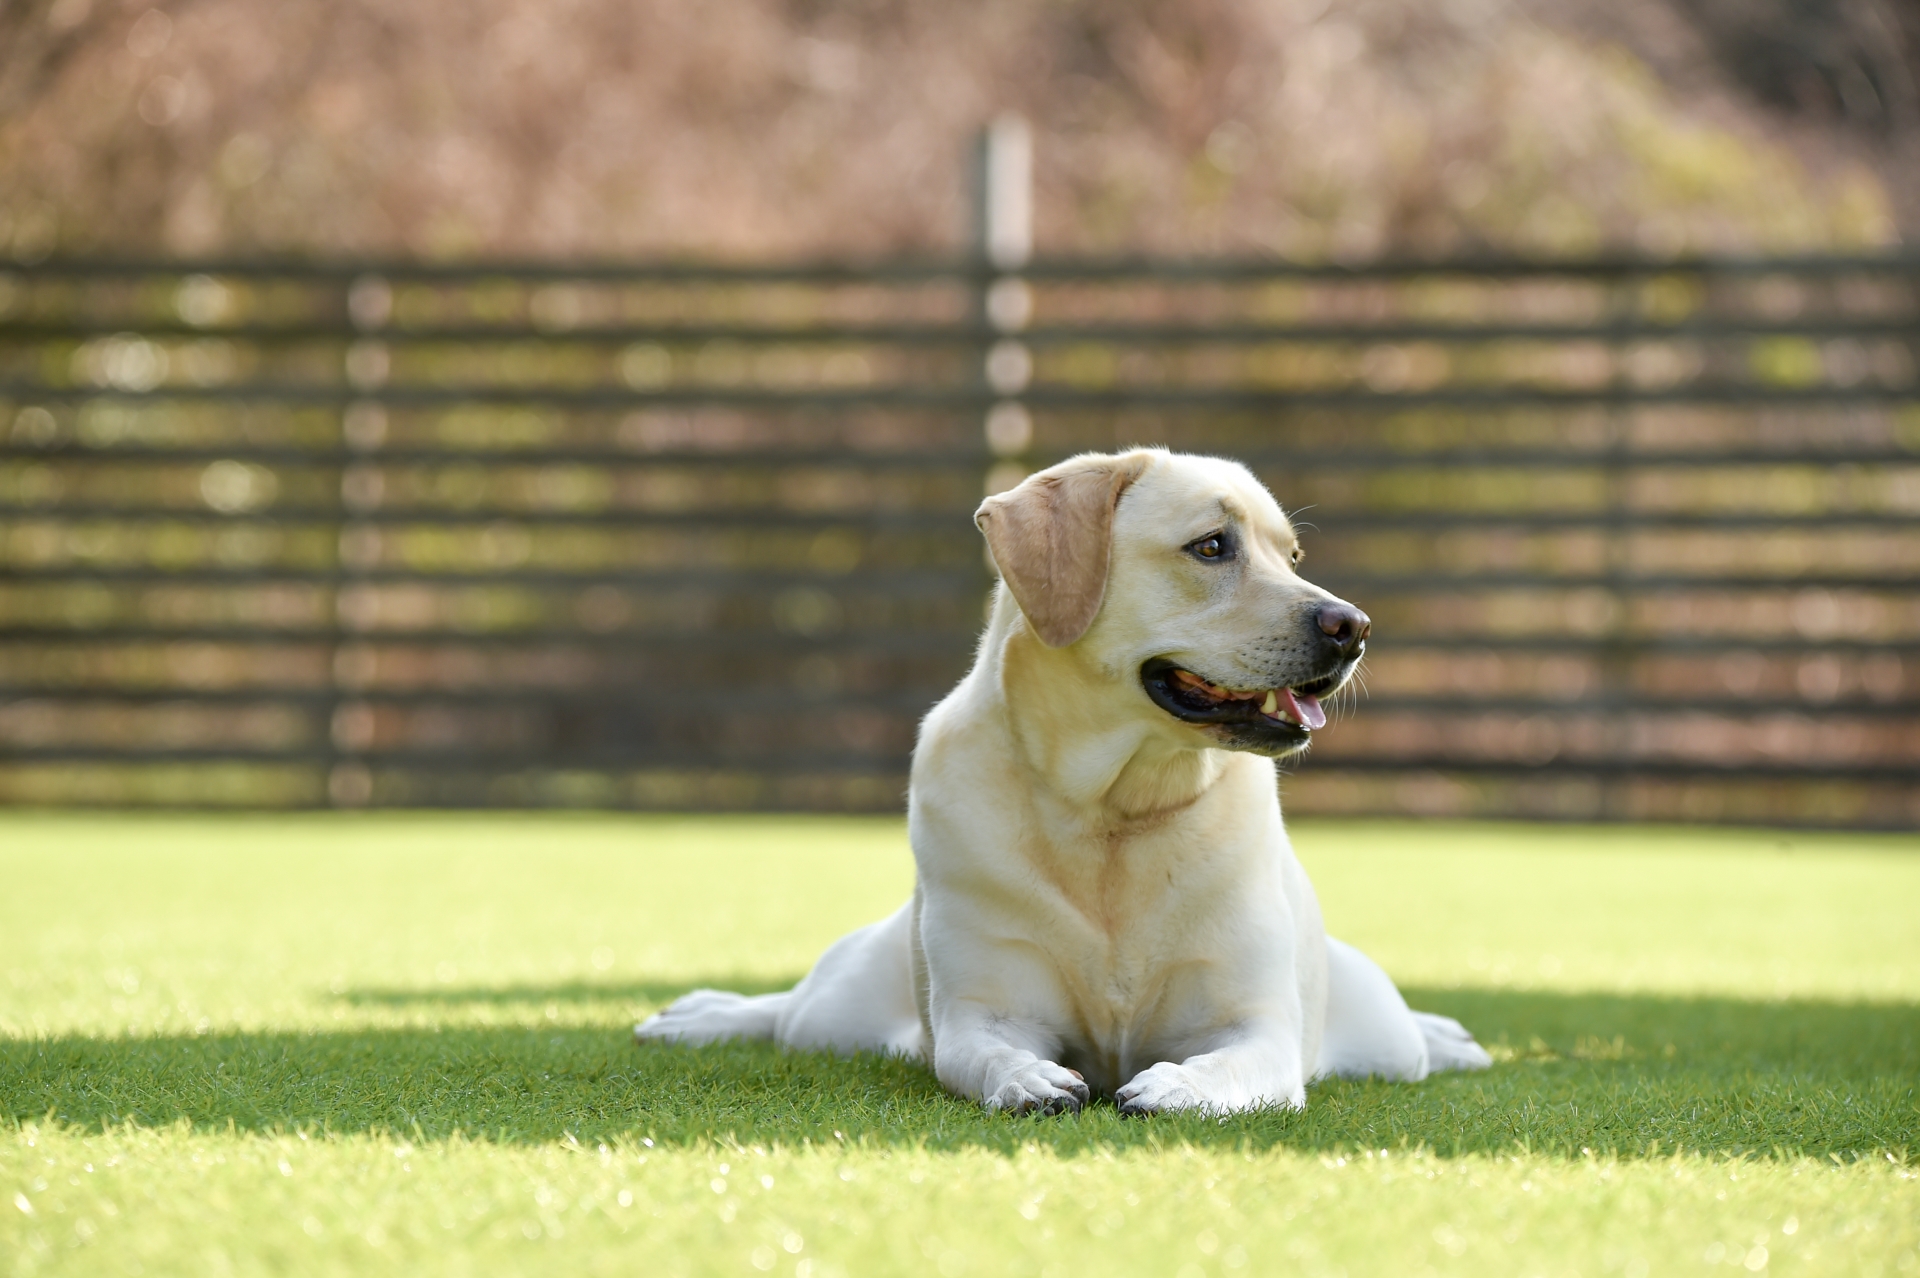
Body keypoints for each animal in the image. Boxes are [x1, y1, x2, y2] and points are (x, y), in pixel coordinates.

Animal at [637, 447, 1489, 1105]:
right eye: (1213, 546)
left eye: (1292, 557)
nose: (1354, 627)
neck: (1111, 811)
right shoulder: (983, 1013)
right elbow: (984, 1054)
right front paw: (1027, 1080)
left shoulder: (1261, 1029)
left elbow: (1229, 1065)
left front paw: (1178, 1085)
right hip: (840, 1008)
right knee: (787, 1012)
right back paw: (705, 1016)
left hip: (1379, 1030)